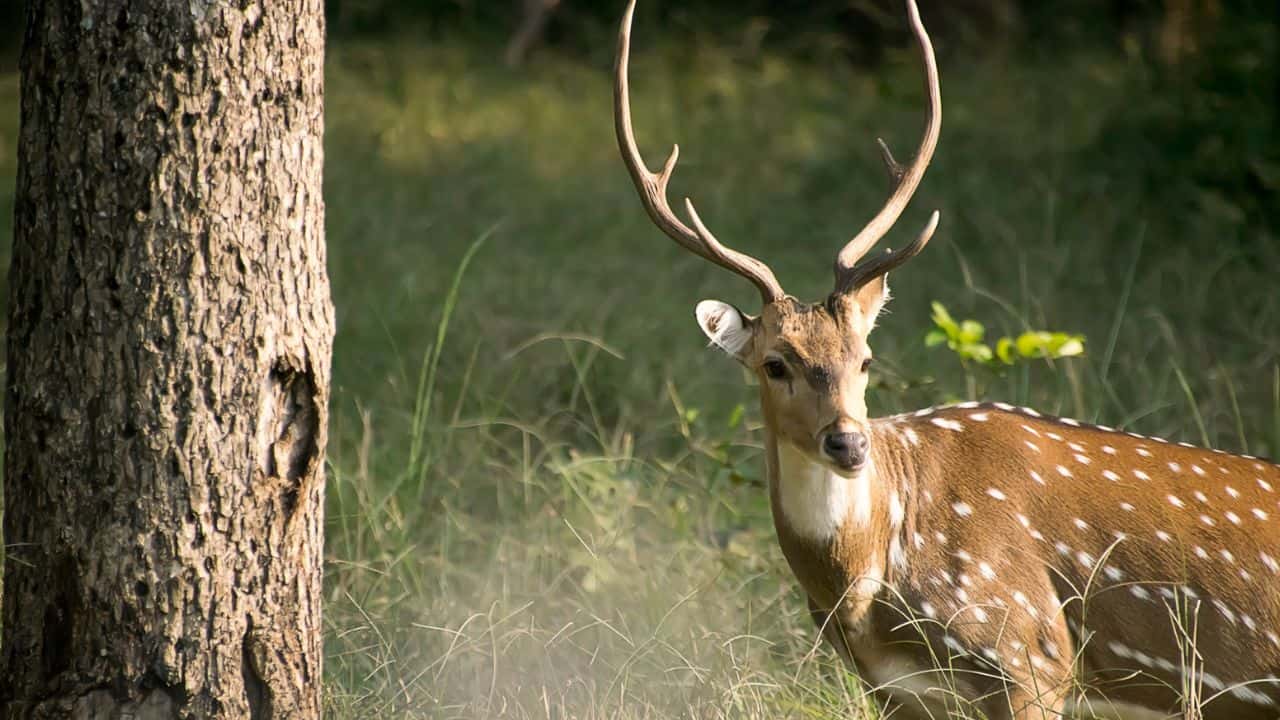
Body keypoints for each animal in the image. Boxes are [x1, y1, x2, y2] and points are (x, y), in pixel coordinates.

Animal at [613, 1, 1280, 718]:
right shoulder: (896, 690)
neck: (871, 580)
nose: (848, 442)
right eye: (775, 363)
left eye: (866, 359)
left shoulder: (1029, 651)